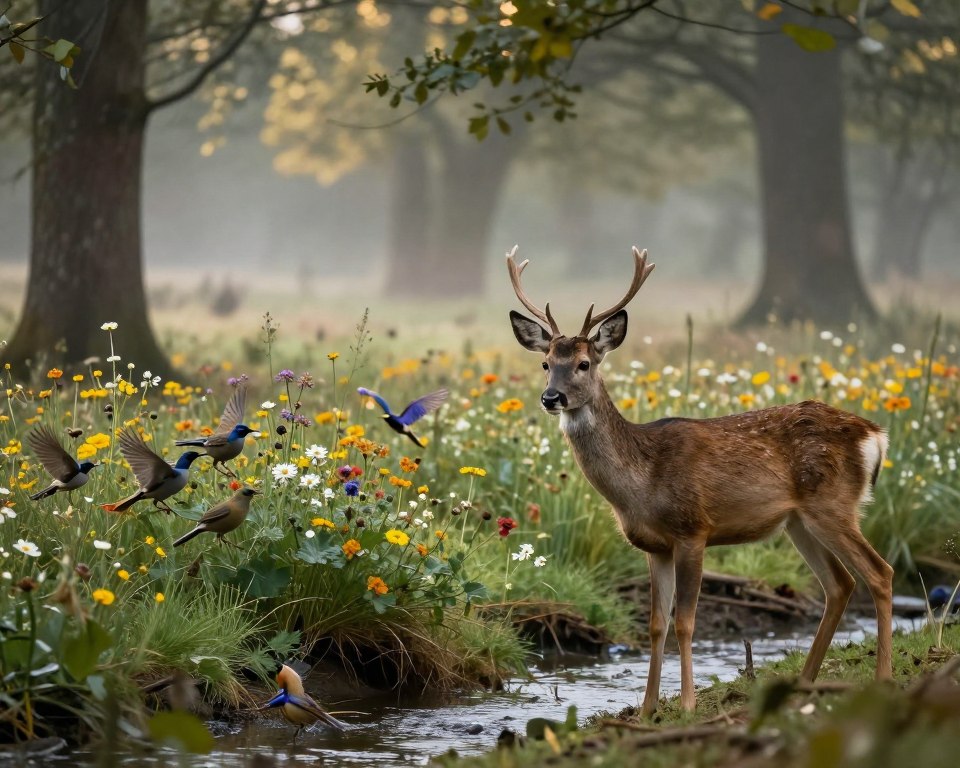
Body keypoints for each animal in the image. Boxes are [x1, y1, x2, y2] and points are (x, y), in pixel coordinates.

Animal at [506, 245, 893, 716]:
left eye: (583, 363)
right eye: (545, 363)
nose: (551, 397)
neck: (641, 484)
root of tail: (875, 435)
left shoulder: (693, 529)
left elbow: (686, 622)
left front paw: (688, 703)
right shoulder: (653, 545)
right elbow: (656, 624)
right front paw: (647, 708)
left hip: (833, 505)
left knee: (879, 573)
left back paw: (883, 678)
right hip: (799, 521)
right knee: (840, 584)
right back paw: (804, 682)